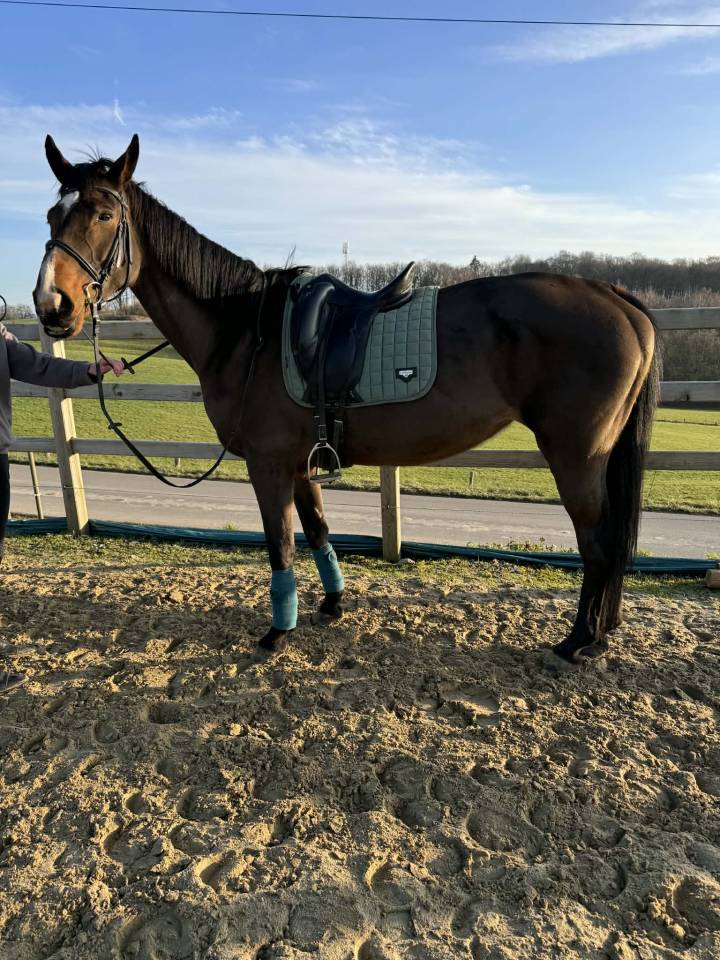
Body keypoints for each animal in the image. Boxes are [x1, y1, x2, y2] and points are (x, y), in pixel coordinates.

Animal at [32, 135, 659, 663]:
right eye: (51, 215)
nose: (52, 305)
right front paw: (332, 605)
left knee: (598, 545)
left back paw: (580, 641)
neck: (247, 330)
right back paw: (599, 633)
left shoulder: (267, 464)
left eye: (105, 214)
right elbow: (317, 532)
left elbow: (281, 545)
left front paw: (277, 632)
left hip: (577, 455)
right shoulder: (300, 463)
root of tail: (617, 297)